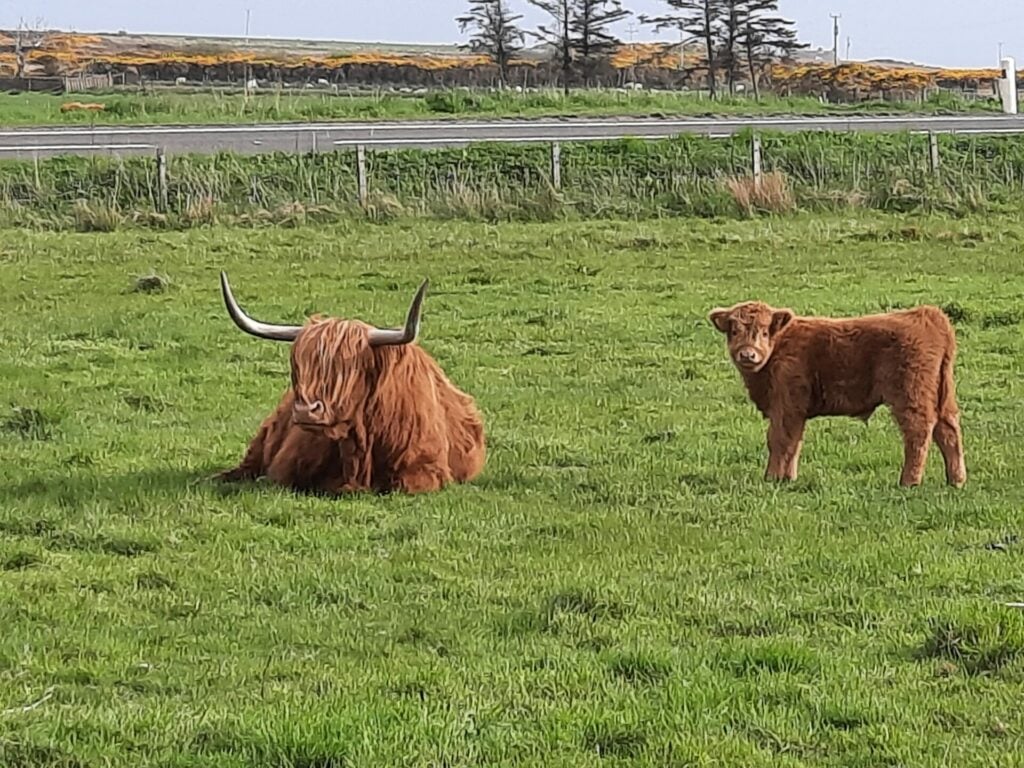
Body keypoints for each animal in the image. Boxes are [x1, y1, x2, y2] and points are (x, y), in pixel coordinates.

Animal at [708, 301, 962, 487]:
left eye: (763, 332)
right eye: (734, 331)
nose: (747, 354)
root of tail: (928, 314)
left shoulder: (786, 404)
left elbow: (779, 439)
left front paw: (772, 478)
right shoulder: (794, 409)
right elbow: (794, 441)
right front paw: (788, 478)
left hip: (910, 394)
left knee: (918, 431)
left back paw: (909, 481)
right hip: (943, 395)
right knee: (948, 430)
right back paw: (956, 480)